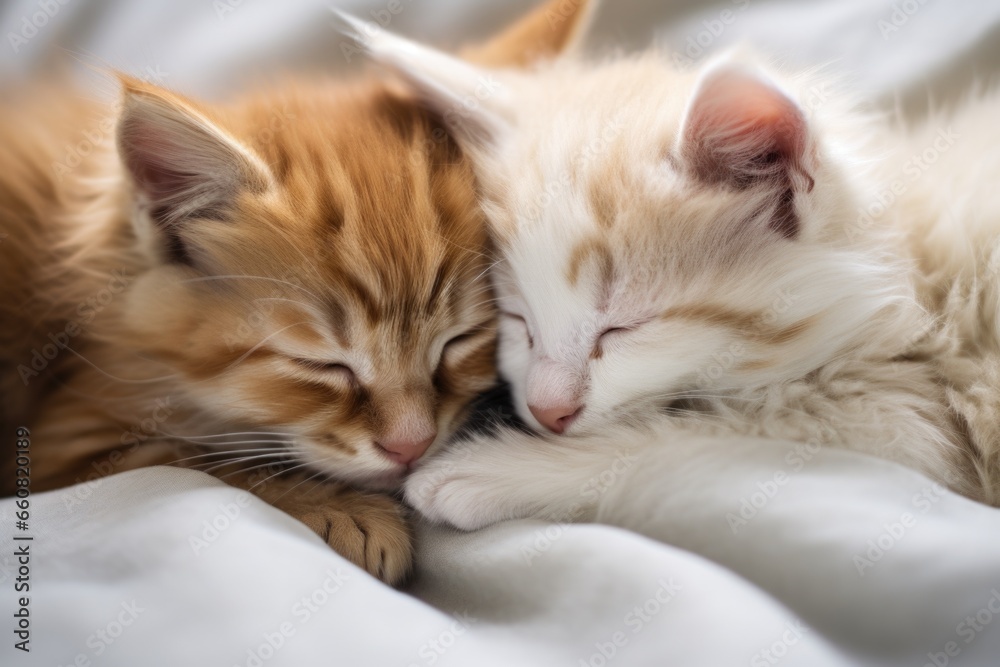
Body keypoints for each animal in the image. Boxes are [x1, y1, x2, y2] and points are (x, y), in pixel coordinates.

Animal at [356, 1, 1000, 532]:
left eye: (624, 327)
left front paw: (489, 472)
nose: (547, 411)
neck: (913, 278)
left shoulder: (909, 420)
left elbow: (689, 439)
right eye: (518, 322)